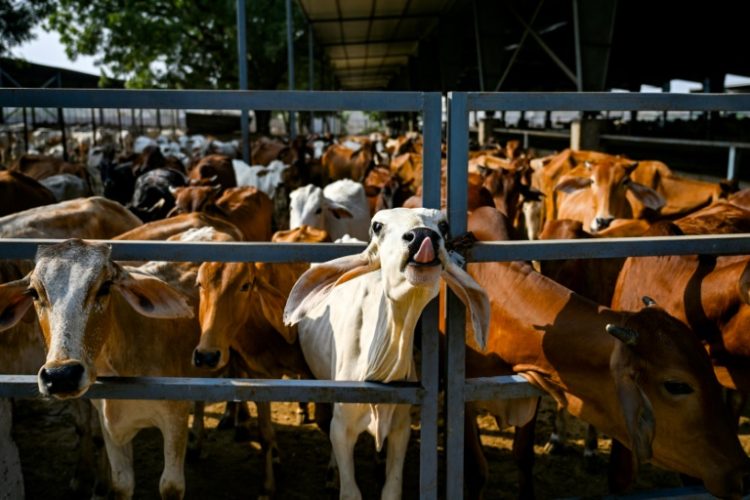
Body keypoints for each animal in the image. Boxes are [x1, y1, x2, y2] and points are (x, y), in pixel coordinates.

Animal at [284, 208, 490, 500]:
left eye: (443, 225)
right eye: (377, 226)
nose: (422, 236)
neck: (377, 372)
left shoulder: (401, 428)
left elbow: (391, 489)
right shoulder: (342, 428)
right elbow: (350, 491)